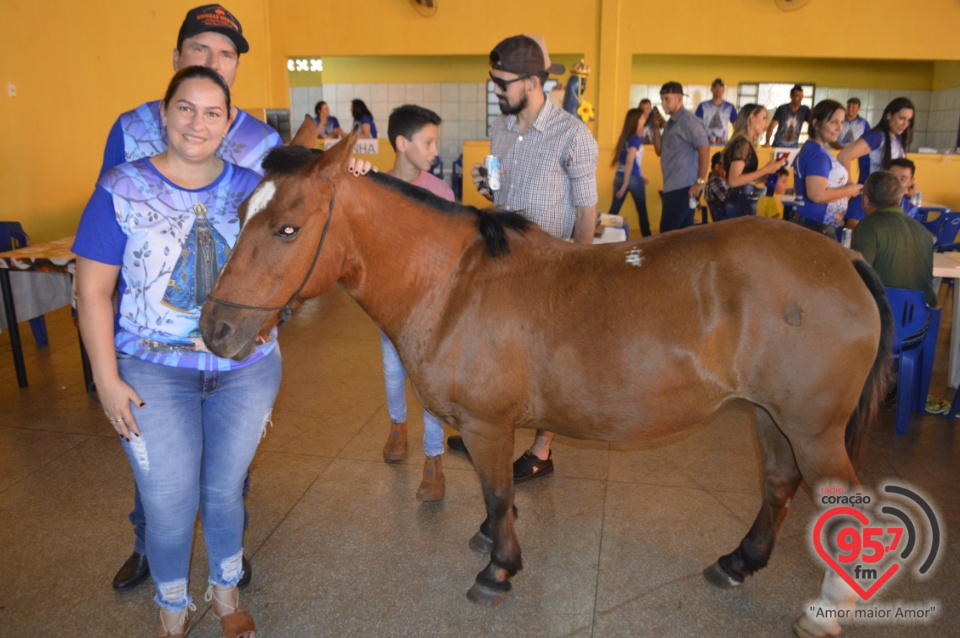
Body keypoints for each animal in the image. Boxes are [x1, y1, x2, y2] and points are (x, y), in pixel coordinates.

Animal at [201, 132, 892, 636]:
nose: (215, 329)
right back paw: (738, 562)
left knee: (842, 502)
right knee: (777, 484)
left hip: (812, 428)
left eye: (287, 228)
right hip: (770, 416)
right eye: (239, 214)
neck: (456, 285)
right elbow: (496, 496)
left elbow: (499, 494)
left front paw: (498, 570)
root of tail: (844, 258)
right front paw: (491, 542)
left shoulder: (486, 425)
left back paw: (828, 610)